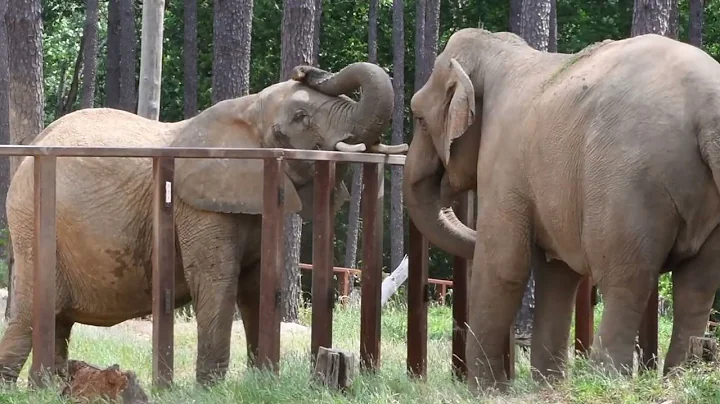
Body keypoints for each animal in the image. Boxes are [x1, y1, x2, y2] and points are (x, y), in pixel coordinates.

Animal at [0, 61, 403, 385]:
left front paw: (259, 382)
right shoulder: (195, 203)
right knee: (32, 312)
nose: (305, 69)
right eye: (301, 116)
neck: (247, 108)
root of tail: (33, 147)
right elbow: (216, 277)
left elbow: (256, 284)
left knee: (55, 319)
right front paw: (211, 388)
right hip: (32, 221)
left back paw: (47, 389)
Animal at [403, 28, 720, 393]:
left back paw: (608, 379)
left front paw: (486, 391)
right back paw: (680, 380)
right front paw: (547, 387)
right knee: (697, 285)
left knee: (626, 279)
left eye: (419, 119)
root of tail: (709, 109)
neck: (501, 53)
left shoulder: (503, 161)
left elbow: (504, 264)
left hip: (630, 185)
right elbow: (557, 272)